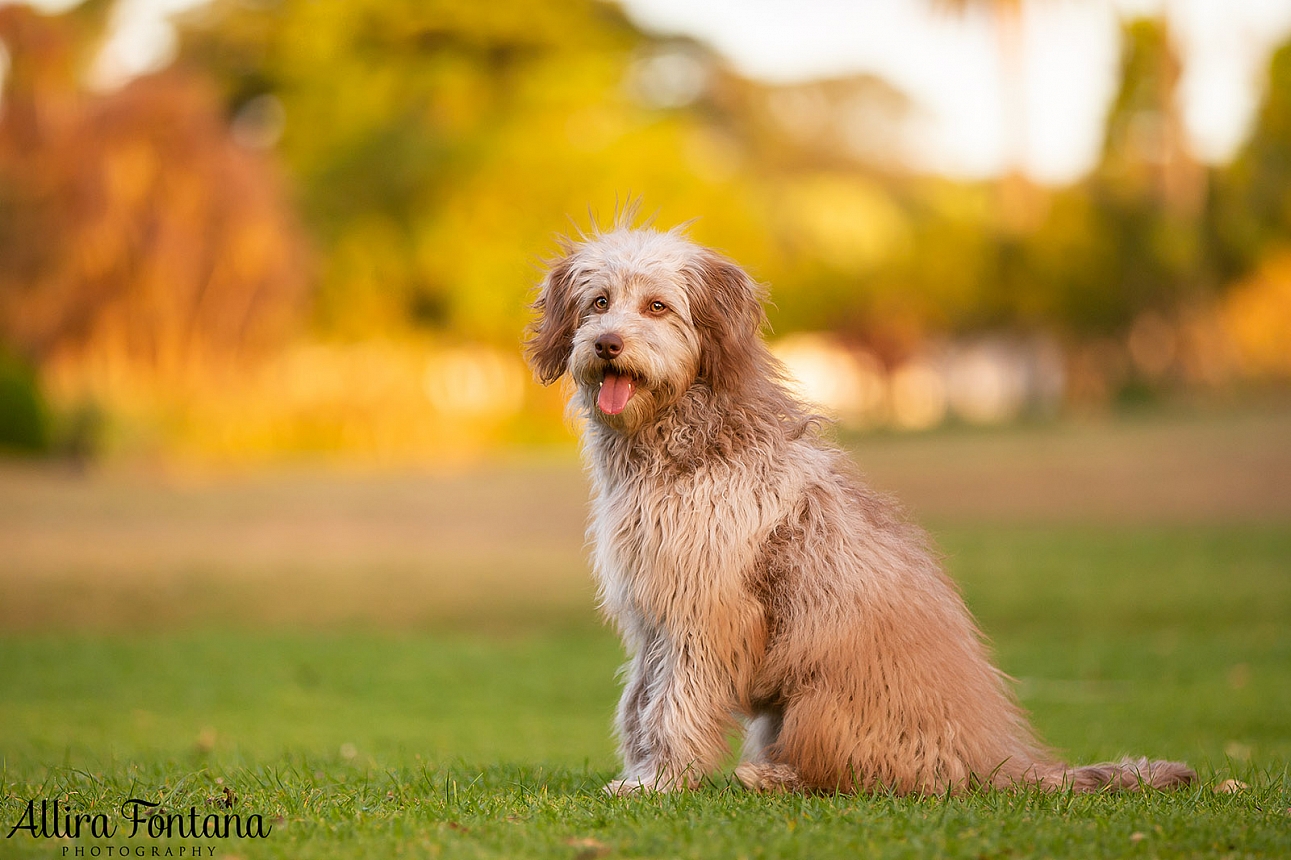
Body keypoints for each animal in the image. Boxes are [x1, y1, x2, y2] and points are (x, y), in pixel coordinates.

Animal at [518, 218, 1192, 795]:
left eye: (657, 306)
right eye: (598, 302)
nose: (606, 344)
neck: (681, 436)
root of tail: (990, 759)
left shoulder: (707, 611)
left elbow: (674, 705)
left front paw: (659, 782)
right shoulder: (653, 613)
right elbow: (639, 702)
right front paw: (638, 774)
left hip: (820, 704)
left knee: (867, 778)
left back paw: (772, 778)